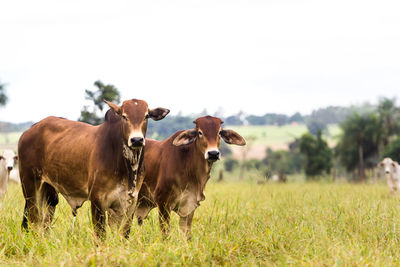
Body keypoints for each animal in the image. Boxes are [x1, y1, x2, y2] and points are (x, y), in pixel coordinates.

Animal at [18, 99, 169, 238]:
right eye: (124, 116)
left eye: (146, 116)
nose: (137, 140)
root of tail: (29, 131)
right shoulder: (98, 200)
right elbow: (100, 235)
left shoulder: (129, 203)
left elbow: (123, 234)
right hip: (30, 188)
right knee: (34, 221)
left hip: (48, 193)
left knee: (44, 223)